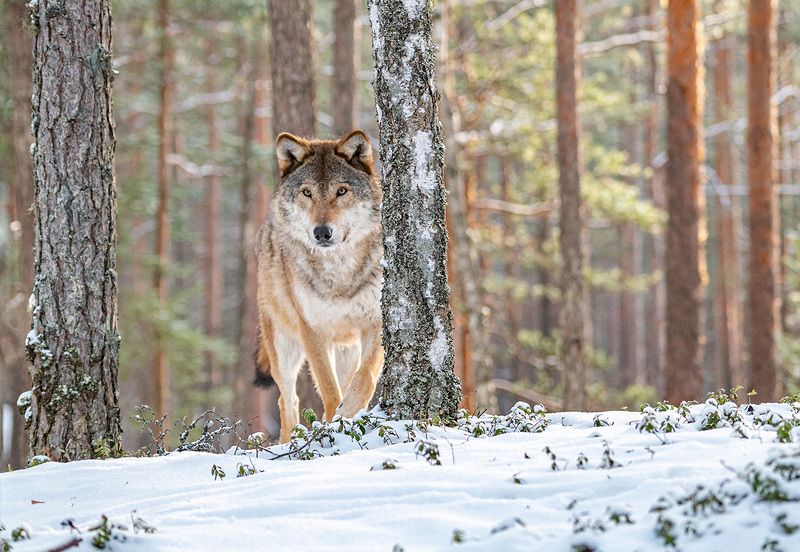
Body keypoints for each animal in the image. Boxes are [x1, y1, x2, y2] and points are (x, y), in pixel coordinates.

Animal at [253, 130, 384, 442]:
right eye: (307, 193)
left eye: (341, 191)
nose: (322, 232)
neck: (339, 272)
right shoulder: (312, 330)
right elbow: (328, 389)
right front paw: (335, 424)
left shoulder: (377, 321)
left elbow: (365, 376)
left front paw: (350, 413)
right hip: (284, 349)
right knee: (286, 401)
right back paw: (288, 442)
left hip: (347, 348)